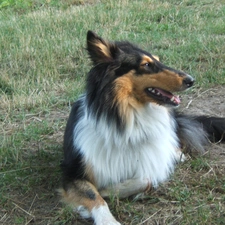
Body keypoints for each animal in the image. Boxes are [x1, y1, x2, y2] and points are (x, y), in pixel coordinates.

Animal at [59, 30, 225, 224]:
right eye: (146, 65)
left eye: (158, 60)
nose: (191, 80)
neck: (129, 119)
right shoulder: (73, 173)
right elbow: (94, 196)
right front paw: (108, 218)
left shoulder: (152, 160)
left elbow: (146, 177)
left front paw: (109, 190)